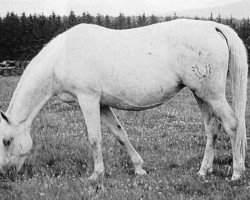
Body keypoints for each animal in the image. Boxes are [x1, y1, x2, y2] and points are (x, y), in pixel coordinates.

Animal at [0, 19, 247, 181]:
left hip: (212, 95)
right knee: (212, 128)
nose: (6, 173)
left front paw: (96, 175)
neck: (61, 57)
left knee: (232, 125)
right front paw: (139, 168)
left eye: (7, 141)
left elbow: (94, 138)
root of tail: (212, 26)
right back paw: (204, 171)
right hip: (200, 94)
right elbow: (120, 134)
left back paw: (236, 173)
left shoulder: (88, 99)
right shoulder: (102, 104)